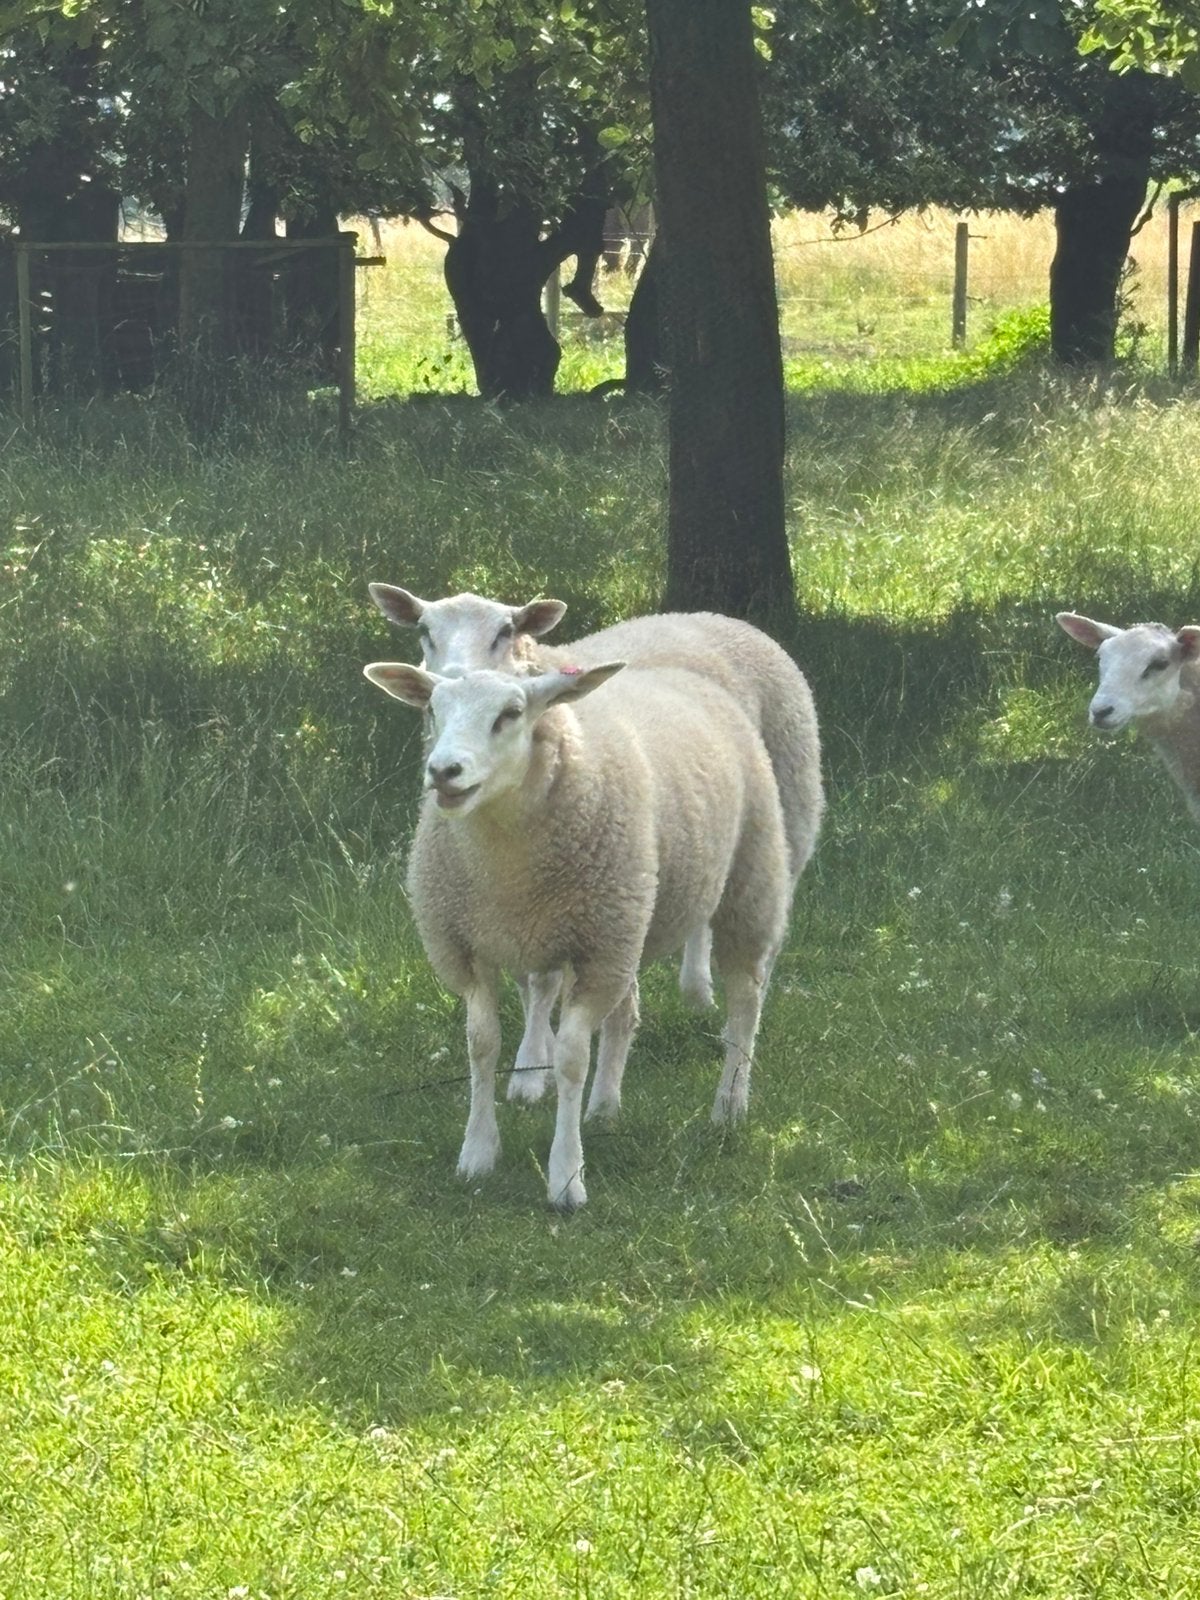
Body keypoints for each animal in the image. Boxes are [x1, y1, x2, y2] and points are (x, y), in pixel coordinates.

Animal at [362, 656, 791, 1210]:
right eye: (433, 710)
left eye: (511, 713)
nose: (443, 772)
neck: (505, 860)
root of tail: (676, 670)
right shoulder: (469, 948)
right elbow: (481, 1045)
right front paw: (477, 1152)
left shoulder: (595, 947)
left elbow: (569, 1059)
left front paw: (566, 1177)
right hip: (629, 921)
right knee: (625, 1015)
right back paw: (604, 1108)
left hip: (745, 884)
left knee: (745, 1003)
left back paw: (730, 1105)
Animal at [368, 583, 824, 1096]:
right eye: (424, 631)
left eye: (505, 632)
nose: (452, 677)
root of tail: (715, 616)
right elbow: (530, 982)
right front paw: (538, 1054)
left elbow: (545, 986)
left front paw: (532, 1069)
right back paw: (694, 991)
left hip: (784, 821)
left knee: (756, 944)